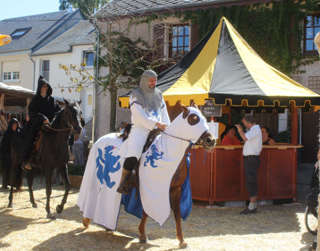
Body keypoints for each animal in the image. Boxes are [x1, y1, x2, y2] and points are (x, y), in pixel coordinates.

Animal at [76, 105, 214, 248]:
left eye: (204, 118)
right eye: (193, 119)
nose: (211, 140)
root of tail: (99, 140)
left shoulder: (176, 190)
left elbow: (177, 214)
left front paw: (181, 241)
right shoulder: (149, 190)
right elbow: (146, 212)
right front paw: (142, 235)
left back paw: (106, 225)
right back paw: (86, 220)